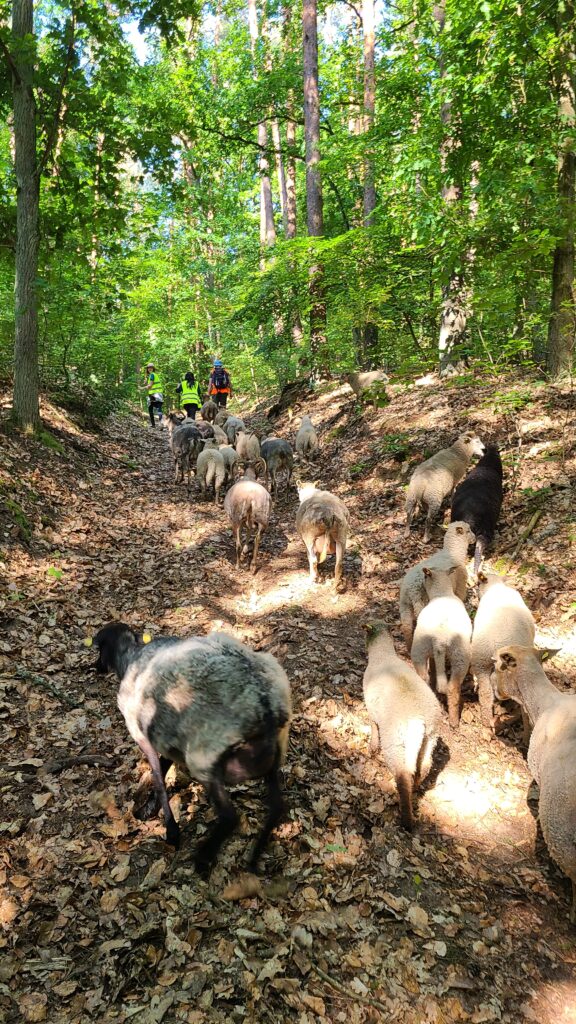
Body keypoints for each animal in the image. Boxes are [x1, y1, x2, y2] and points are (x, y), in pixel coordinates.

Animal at [92, 622, 292, 875]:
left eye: (100, 649)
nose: (95, 667)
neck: (131, 657)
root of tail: (266, 704)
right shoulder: (165, 736)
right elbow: (164, 767)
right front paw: (150, 810)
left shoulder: (142, 734)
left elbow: (157, 776)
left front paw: (171, 831)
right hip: (272, 757)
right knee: (276, 807)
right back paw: (254, 857)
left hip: (205, 759)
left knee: (230, 816)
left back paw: (203, 857)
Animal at [363, 621, 442, 831]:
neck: (383, 653)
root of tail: (419, 719)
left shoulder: (370, 706)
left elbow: (373, 725)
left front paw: (372, 746)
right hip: (430, 738)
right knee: (423, 767)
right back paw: (415, 789)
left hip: (396, 742)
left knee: (403, 775)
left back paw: (406, 819)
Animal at [411, 566, 472, 728]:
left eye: (425, 577)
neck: (442, 593)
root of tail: (440, 638)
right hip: (460, 656)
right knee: (452, 687)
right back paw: (454, 721)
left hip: (421, 648)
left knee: (424, 678)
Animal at [471, 572, 535, 730]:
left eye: (478, 583)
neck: (495, 586)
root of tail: (497, 647)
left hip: (480, 662)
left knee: (485, 694)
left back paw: (487, 722)